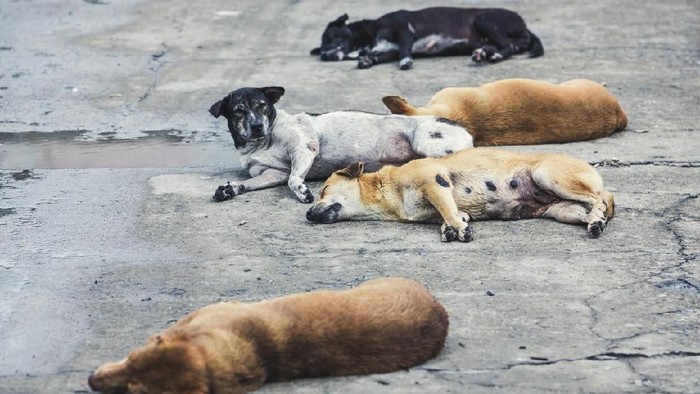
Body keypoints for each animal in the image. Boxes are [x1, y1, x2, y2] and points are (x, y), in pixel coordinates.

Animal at [206, 86, 470, 203]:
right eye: (239, 110)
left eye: (262, 105)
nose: (256, 126)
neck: (262, 143)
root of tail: (466, 132)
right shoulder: (272, 173)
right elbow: (252, 182)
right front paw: (231, 188)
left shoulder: (304, 147)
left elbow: (294, 179)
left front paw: (302, 191)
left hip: (424, 139)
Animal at [306, 147, 612, 242]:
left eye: (323, 189)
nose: (308, 213)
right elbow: (452, 213)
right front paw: (452, 227)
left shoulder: (434, 181)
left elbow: (446, 209)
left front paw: (456, 229)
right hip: (561, 210)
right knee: (590, 209)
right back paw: (594, 221)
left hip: (547, 176)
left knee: (601, 197)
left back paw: (599, 214)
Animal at [308, 7, 544, 70]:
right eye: (321, 45)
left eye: (329, 37)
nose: (324, 54)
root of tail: (525, 25)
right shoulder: (388, 50)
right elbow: (380, 56)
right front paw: (367, 60)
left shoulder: (404, 31)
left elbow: (404, 50)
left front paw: (406, 61)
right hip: (487, 36)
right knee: (504, 46)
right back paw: (482, 54)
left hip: (484, 19)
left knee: (506, 47)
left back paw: (494, 56)